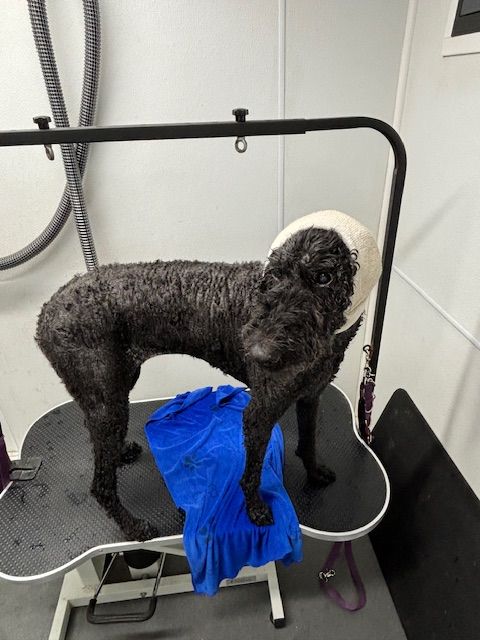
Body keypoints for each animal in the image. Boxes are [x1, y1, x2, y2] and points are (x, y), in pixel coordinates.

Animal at [36, 210, 381, 541]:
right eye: (274, 276)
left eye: (324, 277)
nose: (257, 352)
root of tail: (45, 314)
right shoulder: (259, 413)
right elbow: (252, 473)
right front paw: (255, 509)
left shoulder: (310, 396)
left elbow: (308, 443)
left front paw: (315, 473)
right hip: (108, 399)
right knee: (101, 486)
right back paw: (134, 528)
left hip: (112, 391)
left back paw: (121, 453)